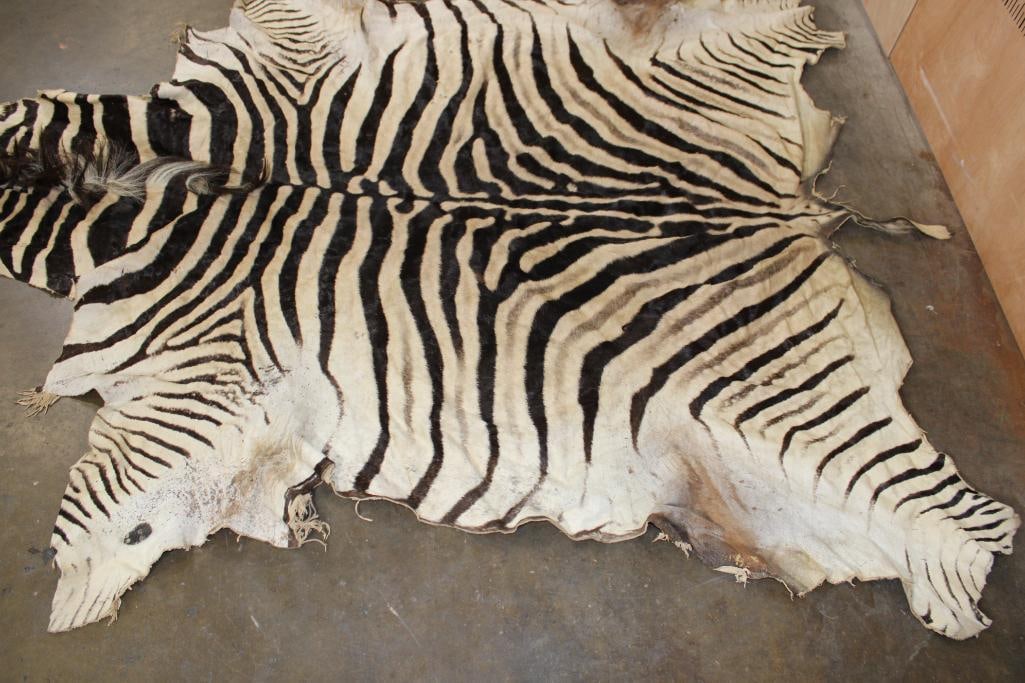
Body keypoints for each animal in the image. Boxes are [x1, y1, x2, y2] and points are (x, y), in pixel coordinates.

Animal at [0, 0, 1017, 637]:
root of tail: (794, 209)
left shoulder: (198, 377)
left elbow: (100, 518)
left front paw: (75, 584)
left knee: (949, 519)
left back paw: (963, 555)